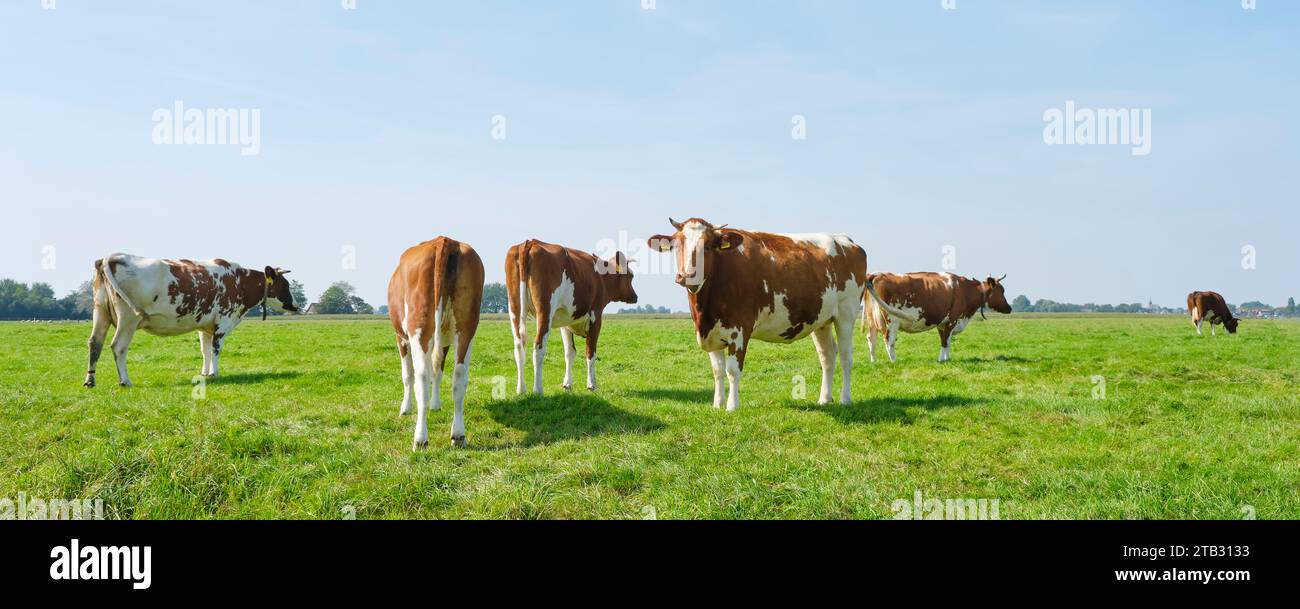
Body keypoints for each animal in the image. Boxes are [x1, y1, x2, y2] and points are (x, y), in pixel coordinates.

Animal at [83, 254, 298, 388]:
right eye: (285, 285)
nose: (296, 306)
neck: (239, 282)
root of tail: (112, 257)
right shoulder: (223, 322)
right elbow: (216, 349)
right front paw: (214, 373)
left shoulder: (205, 326)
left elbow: (205, 350)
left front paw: (204, 373)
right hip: (128, 318)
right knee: (118, 346)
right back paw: (125, 381)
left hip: (100, 312)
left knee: (95, 343)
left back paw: (90, 381)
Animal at [387, 237, 484, 449]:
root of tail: (445, 240)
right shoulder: (445, 340)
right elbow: (438, 371)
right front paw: (436, 405)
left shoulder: (401, 338)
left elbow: (408, 375)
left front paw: (405, 408)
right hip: (466, 327)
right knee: (459, 376)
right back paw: (458, 435)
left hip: (419, 328)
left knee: (422, 376)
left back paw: (420, 439)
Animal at [505, 240, 638, 395]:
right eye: (631, 276)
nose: (635, 296)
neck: (600, 278)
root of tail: (530, 242)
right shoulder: (596, 317)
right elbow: (590, 353)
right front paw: (592, 385)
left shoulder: (566, 323)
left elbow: (569, 352)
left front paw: (567, 384)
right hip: (545, 310)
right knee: (538, 347)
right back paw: (537, 390)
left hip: (514, 308)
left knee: (519, 346)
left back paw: (521, 389)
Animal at [647, 217, 915, 411]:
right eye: (677, 245)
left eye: (708, 246)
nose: (687, 275)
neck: (706, 307)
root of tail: (846, 240)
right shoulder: (712, 333)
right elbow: (717, 371)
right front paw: (717, 405)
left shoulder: (739, 330)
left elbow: (732, 370)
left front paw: (732, 407)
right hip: (822, 320)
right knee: (828, 357)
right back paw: (824, 399)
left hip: (846, 314)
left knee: (846, 358)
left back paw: (844, 399)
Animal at [862, 272, 1011, 363]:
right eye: (1002, 290)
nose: (1009, 308)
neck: (965, 290)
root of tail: (877, 274)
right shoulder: (953, 319)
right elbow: (945, 341)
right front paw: (942, 360)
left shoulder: (942, 323)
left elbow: (945, 340)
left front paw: (947, 358)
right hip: (891, 320)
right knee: (889, 339)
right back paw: (894, 361)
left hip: (872, 319)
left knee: (871, 338)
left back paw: (874, 361)